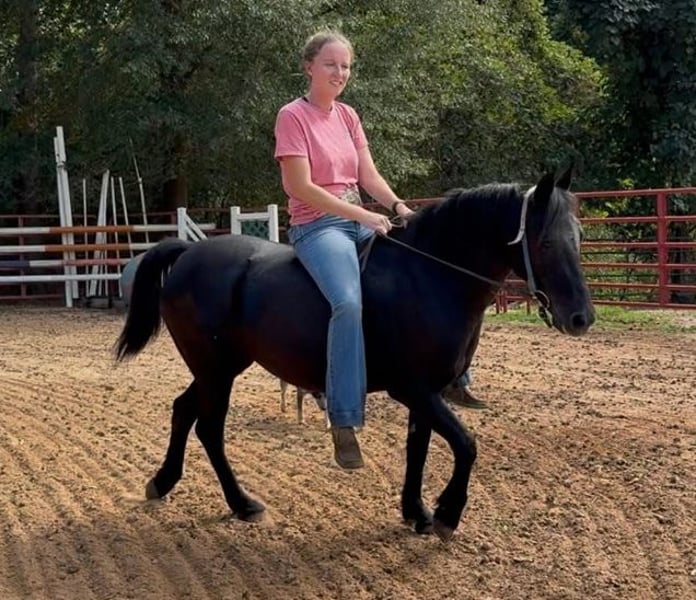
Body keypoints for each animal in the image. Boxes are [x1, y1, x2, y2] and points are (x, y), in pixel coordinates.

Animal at [115, 168, 594, 541]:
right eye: (545, 243)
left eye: (578, 237)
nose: (581, 318)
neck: (428, 276)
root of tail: (189, 252)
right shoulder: (414, 389)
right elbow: (466, 444)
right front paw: (447, 514)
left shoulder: (429, 393)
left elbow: (418, 447)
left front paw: (416, 512)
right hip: (216, 370)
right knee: (210, 428)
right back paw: (242, 503)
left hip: (219, 368)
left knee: (183, 410)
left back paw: (163, 482)